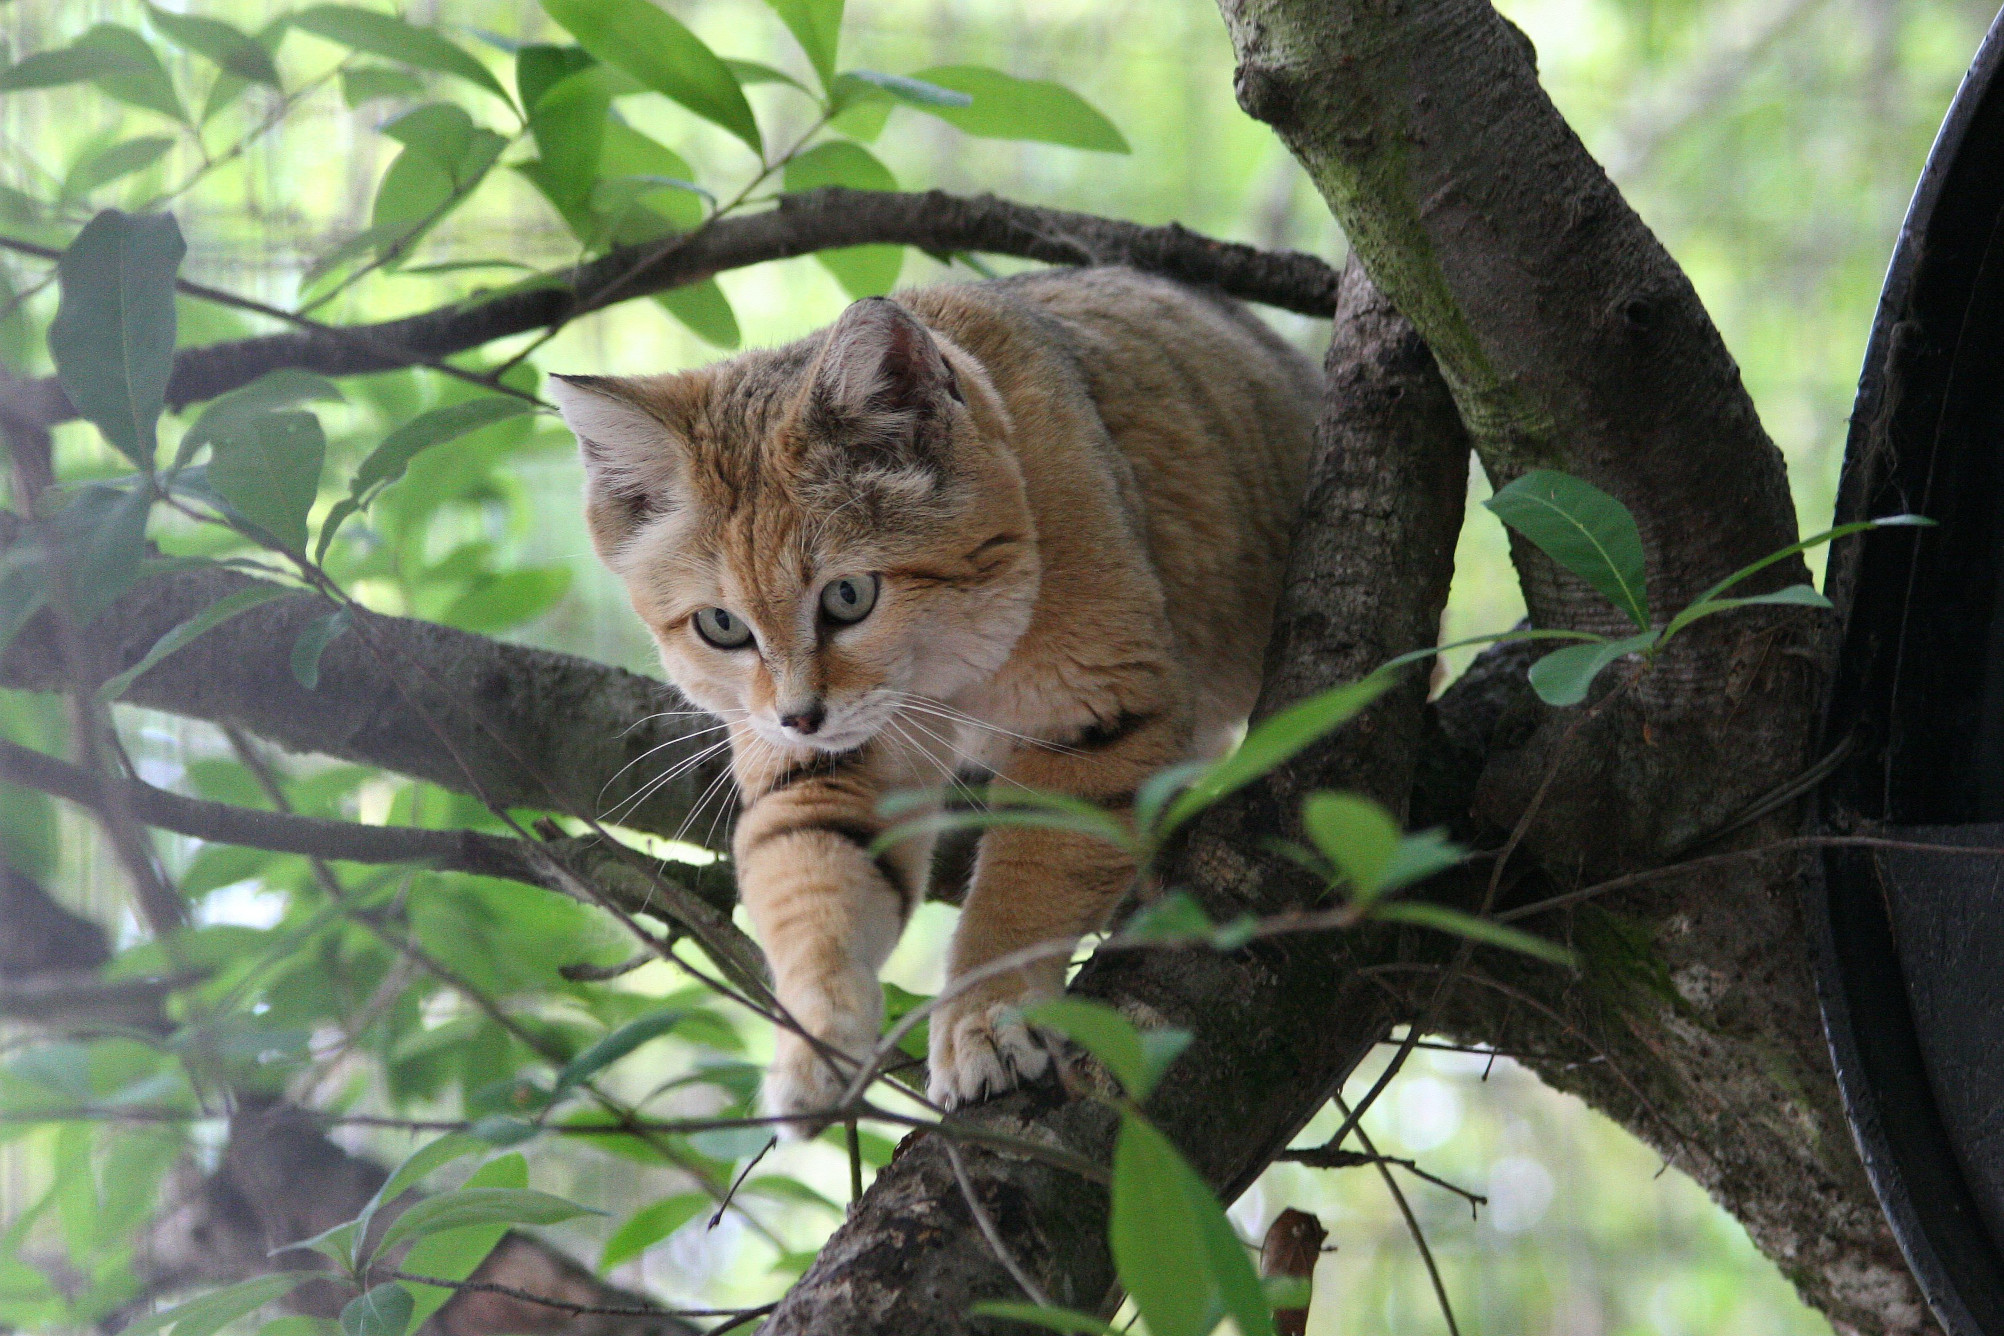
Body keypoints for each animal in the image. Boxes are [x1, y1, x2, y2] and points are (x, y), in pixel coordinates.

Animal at [557, 268, 1322, 1129]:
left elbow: (1023, 893)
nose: (799, 717)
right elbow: (816, 891)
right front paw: (813, 1046)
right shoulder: (818, 769)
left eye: (849, 596)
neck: (949, 674)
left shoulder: (1098, 717)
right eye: (722, 626)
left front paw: (985, 1022)